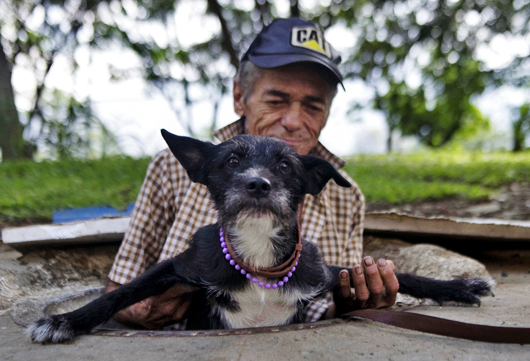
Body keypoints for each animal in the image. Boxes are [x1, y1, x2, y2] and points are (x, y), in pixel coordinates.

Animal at [27, 129, 490, 340]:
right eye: (232, 160)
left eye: (285, 165)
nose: (257, 184)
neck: (258, 255)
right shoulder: (182, 266)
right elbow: (118, 294)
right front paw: (64, 321)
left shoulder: (322, 272)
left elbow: (404, 275)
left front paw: (459, 286)